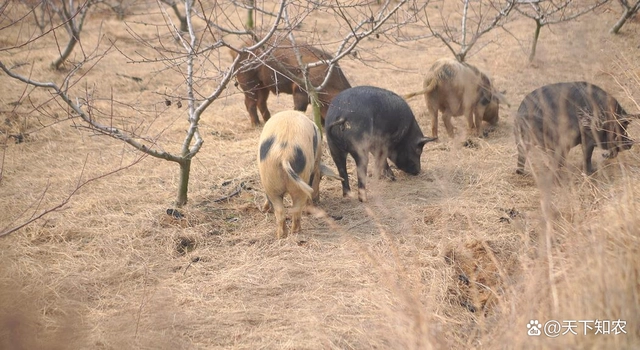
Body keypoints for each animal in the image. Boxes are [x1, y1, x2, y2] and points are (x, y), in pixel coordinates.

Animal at [258, 110, 342, 239]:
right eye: (321, 178)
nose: (317, 200)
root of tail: (284, 154)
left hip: (270, 179)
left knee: (284, 211)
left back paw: (284, 234)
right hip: (292, 179)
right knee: (293, 209)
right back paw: (292, 232)